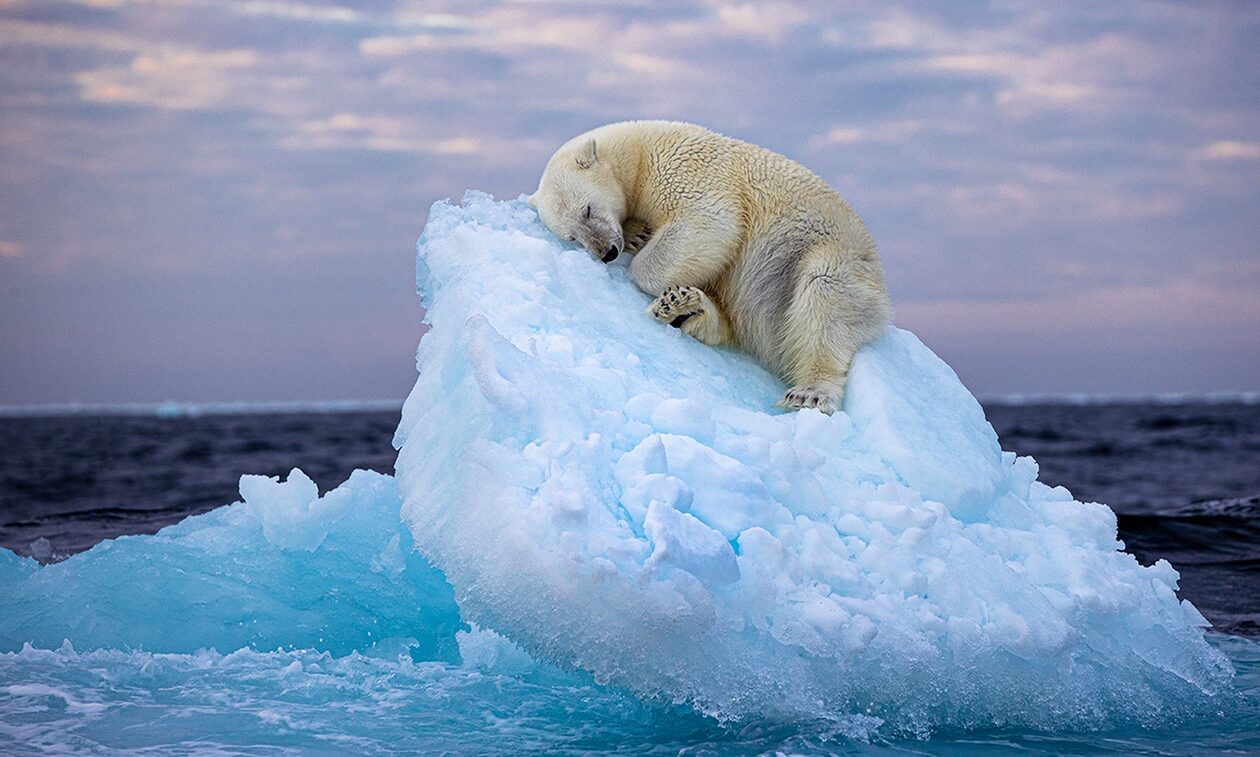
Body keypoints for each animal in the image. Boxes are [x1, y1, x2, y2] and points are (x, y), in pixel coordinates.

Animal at [526, 119, 892, 413]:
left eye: (587, 209)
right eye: (572, 236)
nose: (606, 252)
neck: (640, 152)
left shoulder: (687, 170)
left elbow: (710, 222)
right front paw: (637, 234)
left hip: (826, 254)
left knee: (824, 299)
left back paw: (810, 393)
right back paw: (685, 308)